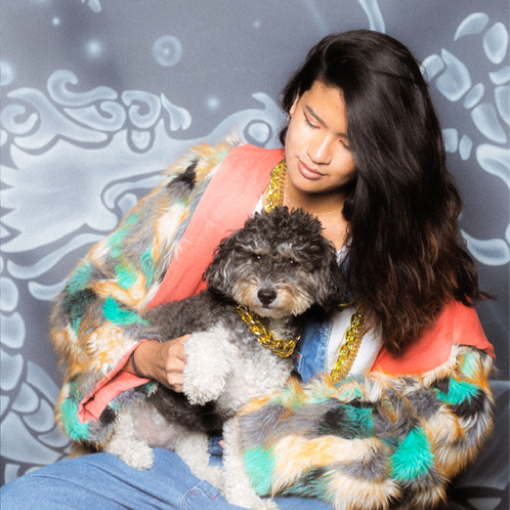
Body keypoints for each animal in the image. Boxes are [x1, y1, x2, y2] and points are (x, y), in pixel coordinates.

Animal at [102, 206, 345, 508]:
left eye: (292, 262)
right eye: (256, 256)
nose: (266, 294)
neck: (261, 332)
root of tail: (154, 438)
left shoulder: (246, 410)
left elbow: (239, 463)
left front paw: (246, 499)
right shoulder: (189, 335)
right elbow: (207, 343)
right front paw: (202, 383)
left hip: (190, 434)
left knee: (193, 461)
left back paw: (214, 476)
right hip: (123, 400)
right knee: (112, 439)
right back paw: (135, 451)